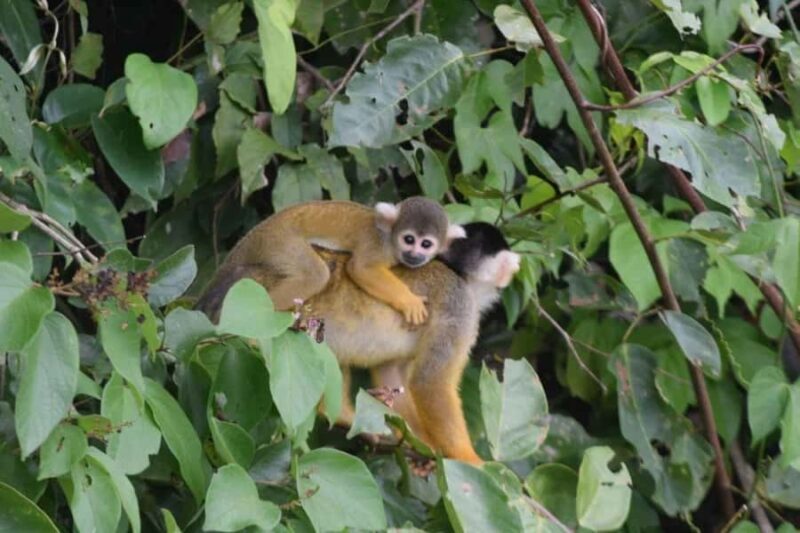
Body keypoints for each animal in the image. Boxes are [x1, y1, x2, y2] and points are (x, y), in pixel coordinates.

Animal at [196, 197, 465, 325]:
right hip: (279, 242)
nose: (415, 254)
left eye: (426, 244)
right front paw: (409, 301)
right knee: (315, 275)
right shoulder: (377, 246)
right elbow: (361, 268)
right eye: (409, 239)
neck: (389, 237)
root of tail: (255, 234)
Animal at [198, 222, 520, 465]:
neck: (457, 272)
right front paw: (469, 459)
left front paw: (419, 444)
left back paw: (340, 414)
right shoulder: (459, 307)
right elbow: (431, 383)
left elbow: (394, 376)